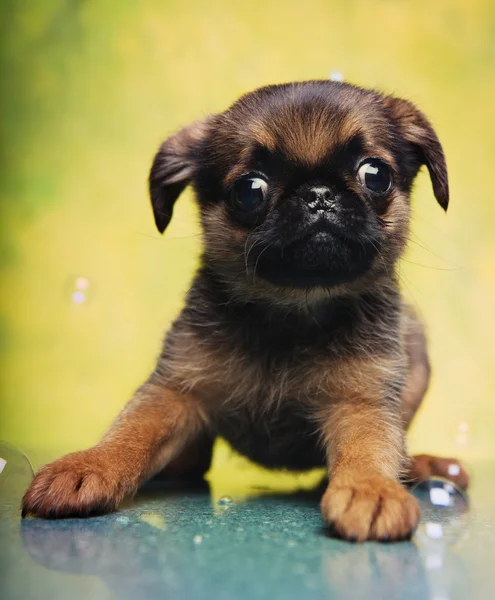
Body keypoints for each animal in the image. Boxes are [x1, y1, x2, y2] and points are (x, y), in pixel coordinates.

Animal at [22, 77, 468, 540]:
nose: (318, 194)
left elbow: (369, 447)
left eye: (375, 175)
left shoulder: (361, 400)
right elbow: (133, 428)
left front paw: (371, 488)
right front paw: (89, 464)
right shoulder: (177, 387)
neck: (291, 311)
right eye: (250, 190)